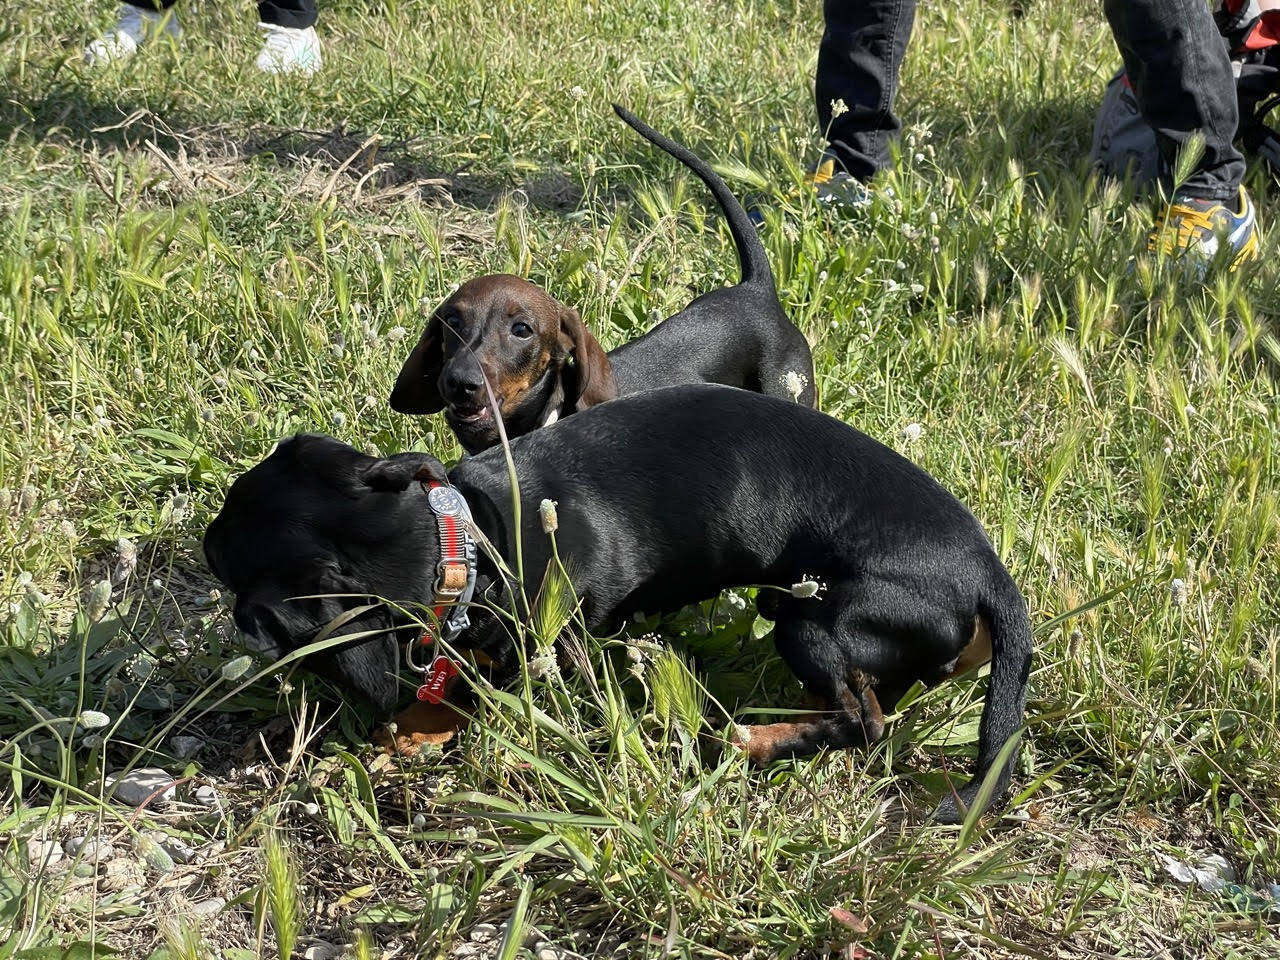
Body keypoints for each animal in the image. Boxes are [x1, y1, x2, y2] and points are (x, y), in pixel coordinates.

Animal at [204, 384, 1034, 829]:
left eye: (223, 555)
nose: (206, 536)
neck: (472, 536)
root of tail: (988, 570)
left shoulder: (550, 641)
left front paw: (408, 733)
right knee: (866, 702)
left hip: (804, 617)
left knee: (862, 719)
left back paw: (750, 741)